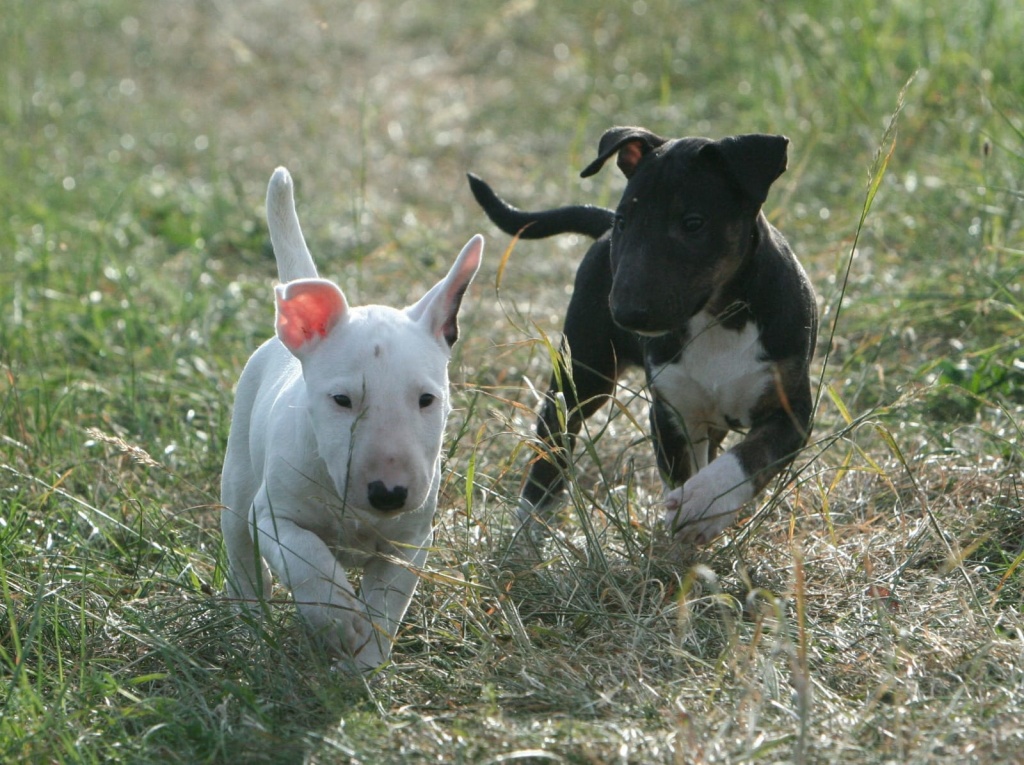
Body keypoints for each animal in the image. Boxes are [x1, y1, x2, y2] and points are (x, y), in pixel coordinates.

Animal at [221, 167, 483, 671]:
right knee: (242, 550)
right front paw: (339, 618)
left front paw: (364, 660)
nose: (389, 494)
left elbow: (387, 602)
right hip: (237, 482)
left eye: (427, 399)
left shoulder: (410, 542)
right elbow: (309, 562)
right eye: (341, 400)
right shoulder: (276, 518)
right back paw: (249, 615)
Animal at [468, 126, 815, 544]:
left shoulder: (792, 411)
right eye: (624, 221)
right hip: (584, 370)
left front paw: (703, 503)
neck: (719, 319)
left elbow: (749, 456)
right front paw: (687, 518)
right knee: (554, 434)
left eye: (693, 223)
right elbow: (681, 470)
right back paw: (529, 523)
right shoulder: (669, 412)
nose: (625, 313)